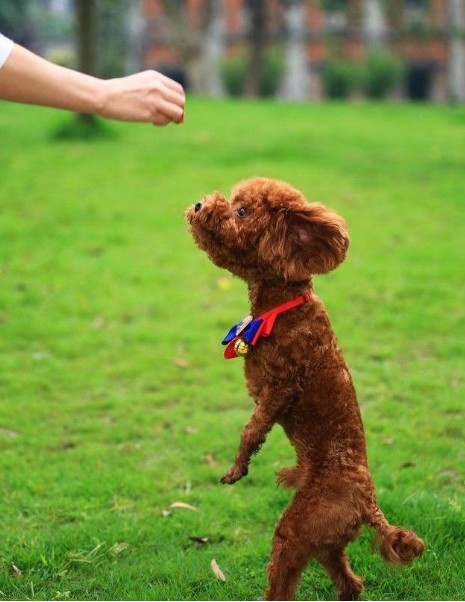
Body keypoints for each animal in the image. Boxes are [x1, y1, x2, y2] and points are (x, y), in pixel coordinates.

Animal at [186, 176, 424, 596]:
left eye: (241, 211)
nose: (199, 203)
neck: (283, 309)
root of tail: (369, 504)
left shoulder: (282, 386)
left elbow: (251, 429)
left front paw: (236, 470)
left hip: (299, 529)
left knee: (284, 583)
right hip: (327, 541)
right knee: (349, 581)